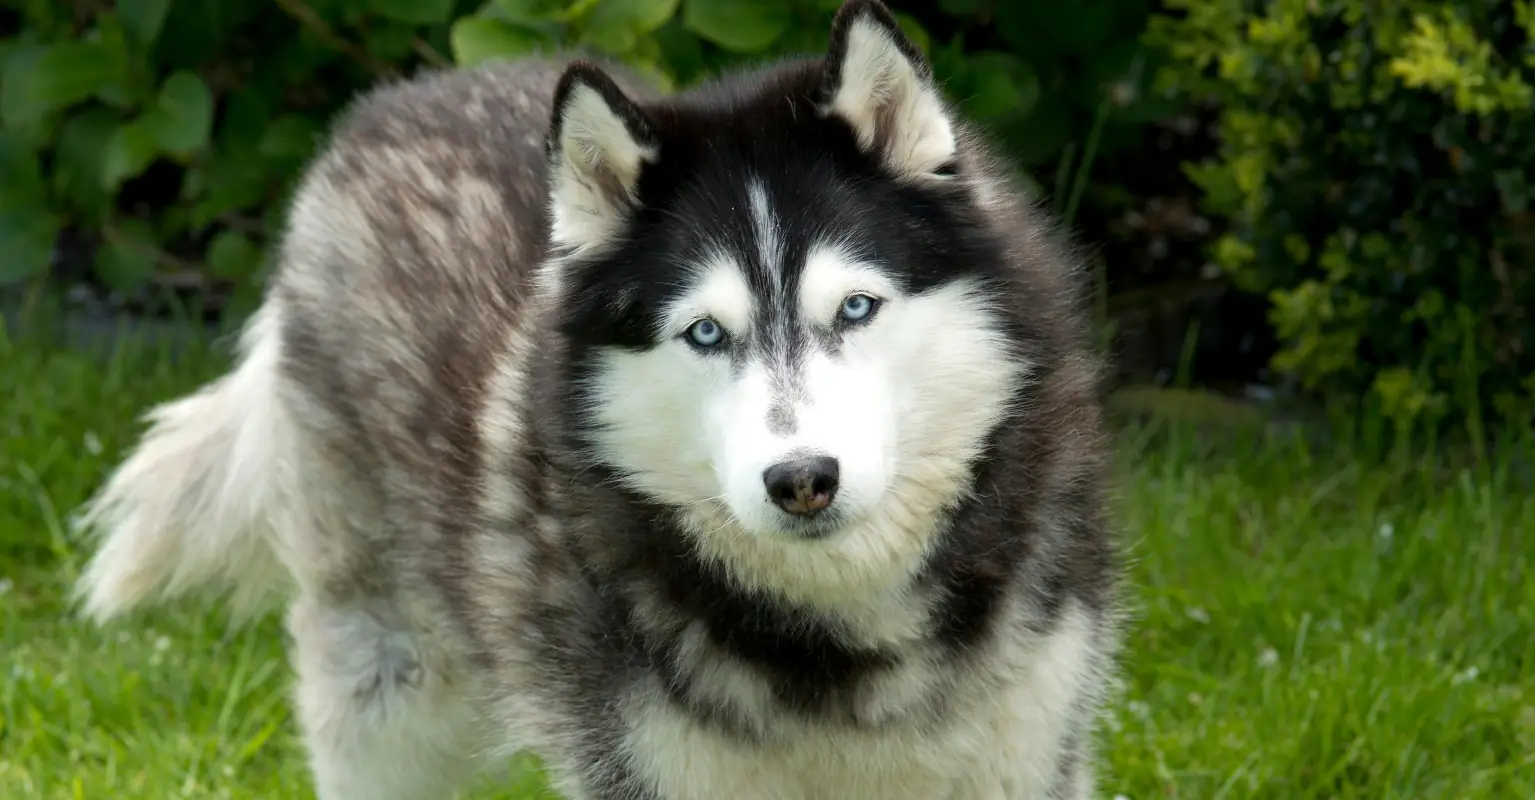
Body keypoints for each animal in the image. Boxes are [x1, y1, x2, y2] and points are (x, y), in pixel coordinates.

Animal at [72, 2, 1121, 797]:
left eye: (856, 308)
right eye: (705, 333)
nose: (801, 480)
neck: (839, 636)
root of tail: (395, 100)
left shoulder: (1034, 746)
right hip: (386, 687)